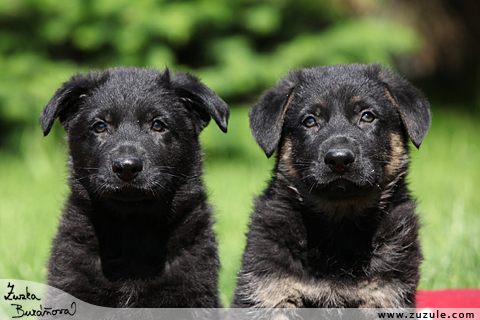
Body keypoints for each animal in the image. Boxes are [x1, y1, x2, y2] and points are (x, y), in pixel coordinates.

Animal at [232, 63, 432, 308]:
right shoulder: (271, 291)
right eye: (309, 121)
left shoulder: (384, 295)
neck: (340, 224)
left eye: (367, 116)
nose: (339, 159)